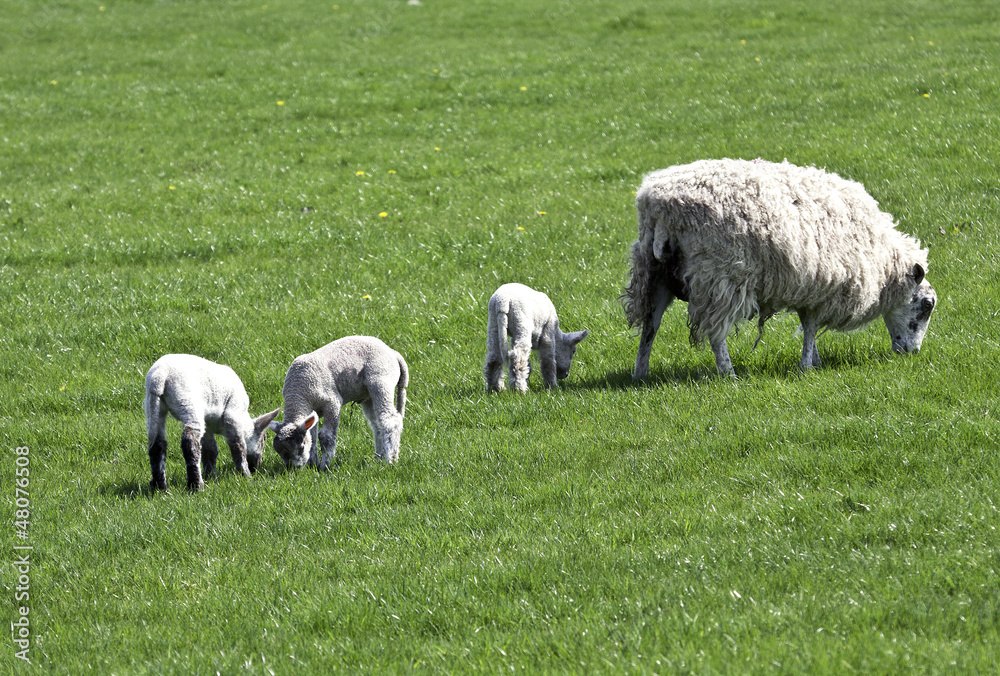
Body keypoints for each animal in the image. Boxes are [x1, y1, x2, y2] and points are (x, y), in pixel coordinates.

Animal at [144, 354, 280, 491]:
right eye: (264, 438)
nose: (256, 467)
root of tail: (159, 375)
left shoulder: (208, 424)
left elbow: (210, 450)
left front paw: (210, 475)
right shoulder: (233, 414)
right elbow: (238, 445)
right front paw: (245, 475)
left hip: (153, 404)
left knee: (157, 444)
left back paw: (160, 487)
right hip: (187, 401)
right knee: (190, 442)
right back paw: (196, 485)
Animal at [268, 336, 408, 469]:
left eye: (301, 448)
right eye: (279, 452)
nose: (292, 468)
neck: (298, 393)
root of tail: (393, 353)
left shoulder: (332, 402)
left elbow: (326, 436)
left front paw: (325, 465)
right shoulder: (313, 411)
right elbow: (312, 437)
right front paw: (312, 464)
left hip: (381, 380)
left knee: (390, 421)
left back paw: (389, 460)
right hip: (368, 396)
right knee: (377, 425)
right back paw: (379, 458)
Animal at [622, 158, 937, 378]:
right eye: (926, 305)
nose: (912, 353)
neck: (884, 261)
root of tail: (659, 207)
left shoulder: (809, 286)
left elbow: (808, 327)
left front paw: (814, 360)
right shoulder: (825, 286)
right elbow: (810, 327)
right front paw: (807, 366)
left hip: (653, 274)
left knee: (650, 325)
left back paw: (640, 374)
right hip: (720, 276)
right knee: (716, 332)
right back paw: (728, 374)